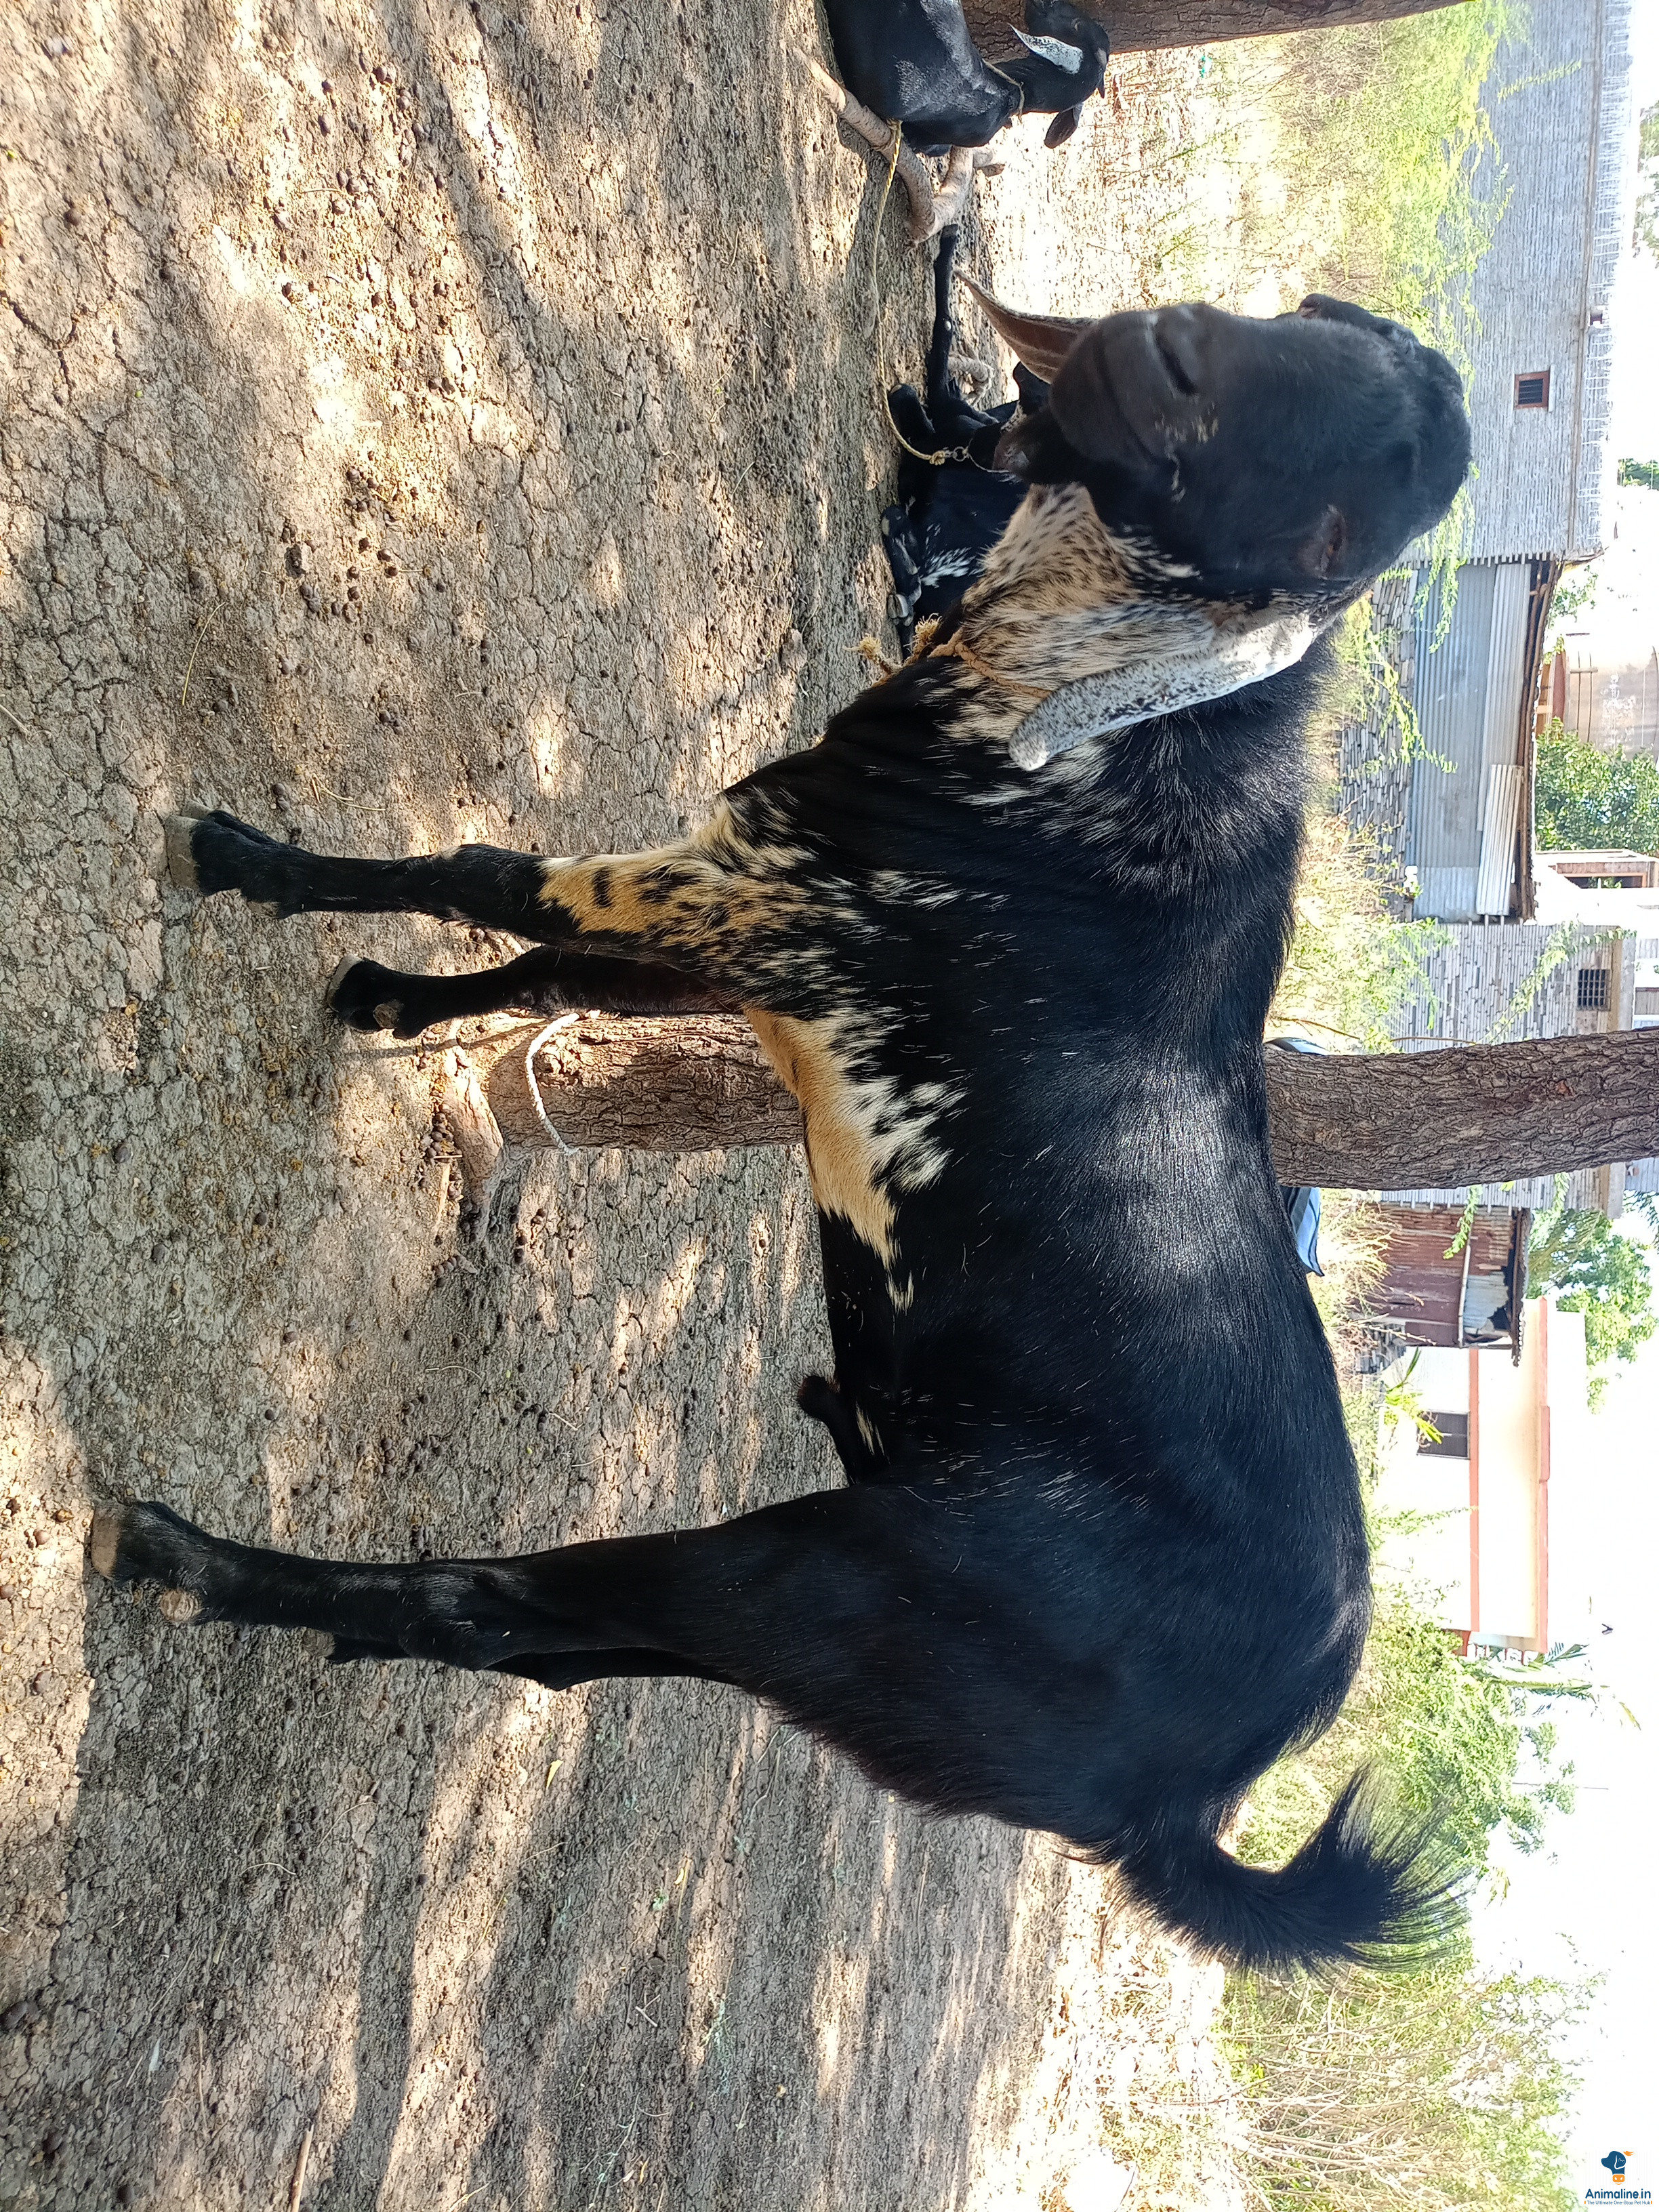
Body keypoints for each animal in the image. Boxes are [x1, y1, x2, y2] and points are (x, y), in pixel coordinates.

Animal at [95, 288, 1471, 1972]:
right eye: (1310, 328)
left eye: (1325, 495)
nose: (1164, 337)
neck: (1115, 716)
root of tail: (1192, 1805)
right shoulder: (732, 938)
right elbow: (549, 972)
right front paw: (390, 1004)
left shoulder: (726, 892)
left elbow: (484, 872)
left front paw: (255, 865)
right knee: (549, 1651)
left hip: (807, 1585)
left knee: (485, 1606)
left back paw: (192, 1563)